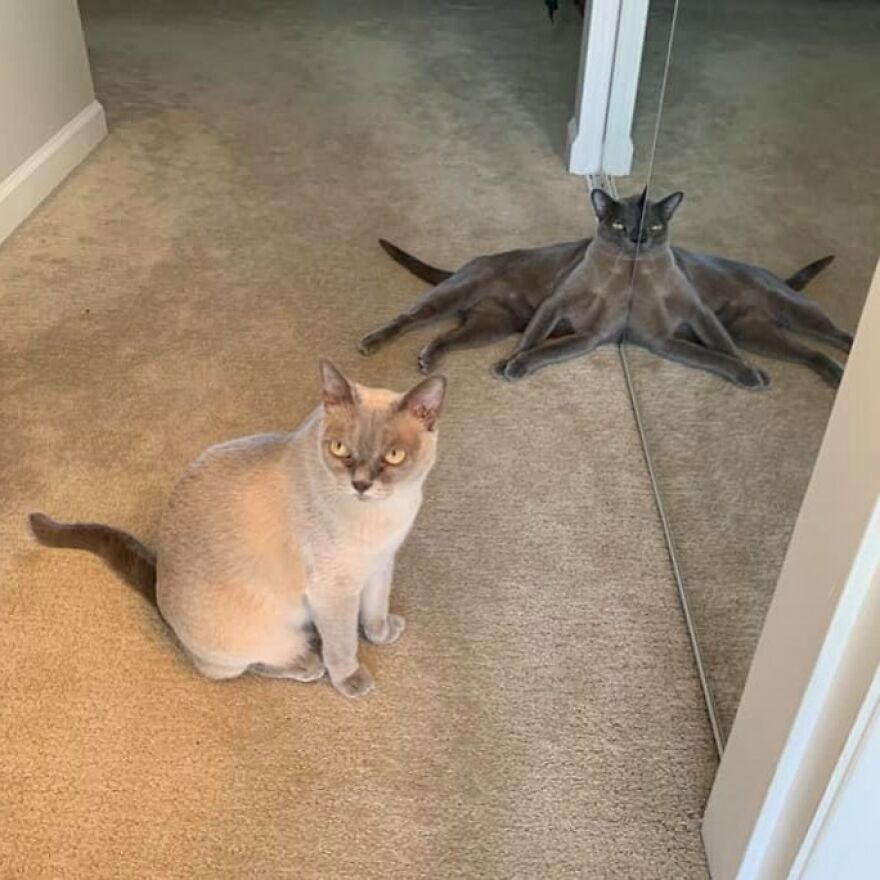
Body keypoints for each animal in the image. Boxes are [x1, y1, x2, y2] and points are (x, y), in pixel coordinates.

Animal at [29, 360, 446, 696]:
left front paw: (383, 633)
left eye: (394, 456)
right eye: (340, 449)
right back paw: (307, 662)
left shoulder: (381, 562)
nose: (360, 484)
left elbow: (375, 609)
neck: (388, 513)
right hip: (258, 637)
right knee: (251, 664)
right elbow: (343, 644)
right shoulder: (334, 590)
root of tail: (160, 582)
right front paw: (352, 682)